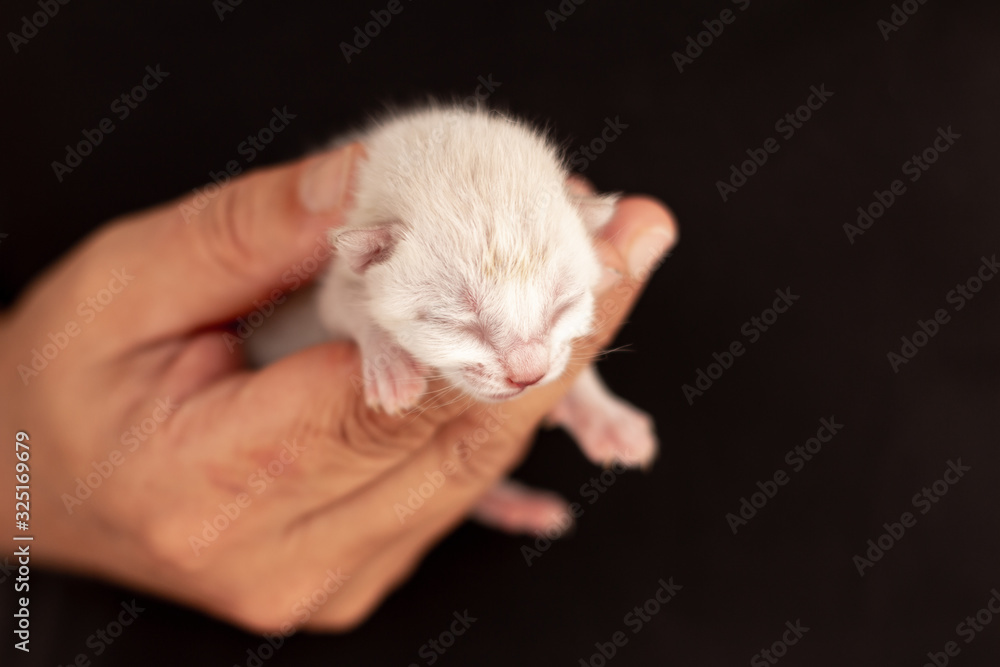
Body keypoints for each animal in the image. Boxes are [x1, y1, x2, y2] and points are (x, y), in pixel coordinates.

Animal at [250, 102, 656, 536]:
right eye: (458, 324)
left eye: (563, 305)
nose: (528, 375)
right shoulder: (323, 284)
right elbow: (346, 304)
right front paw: (391, 365)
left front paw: (605, 416)